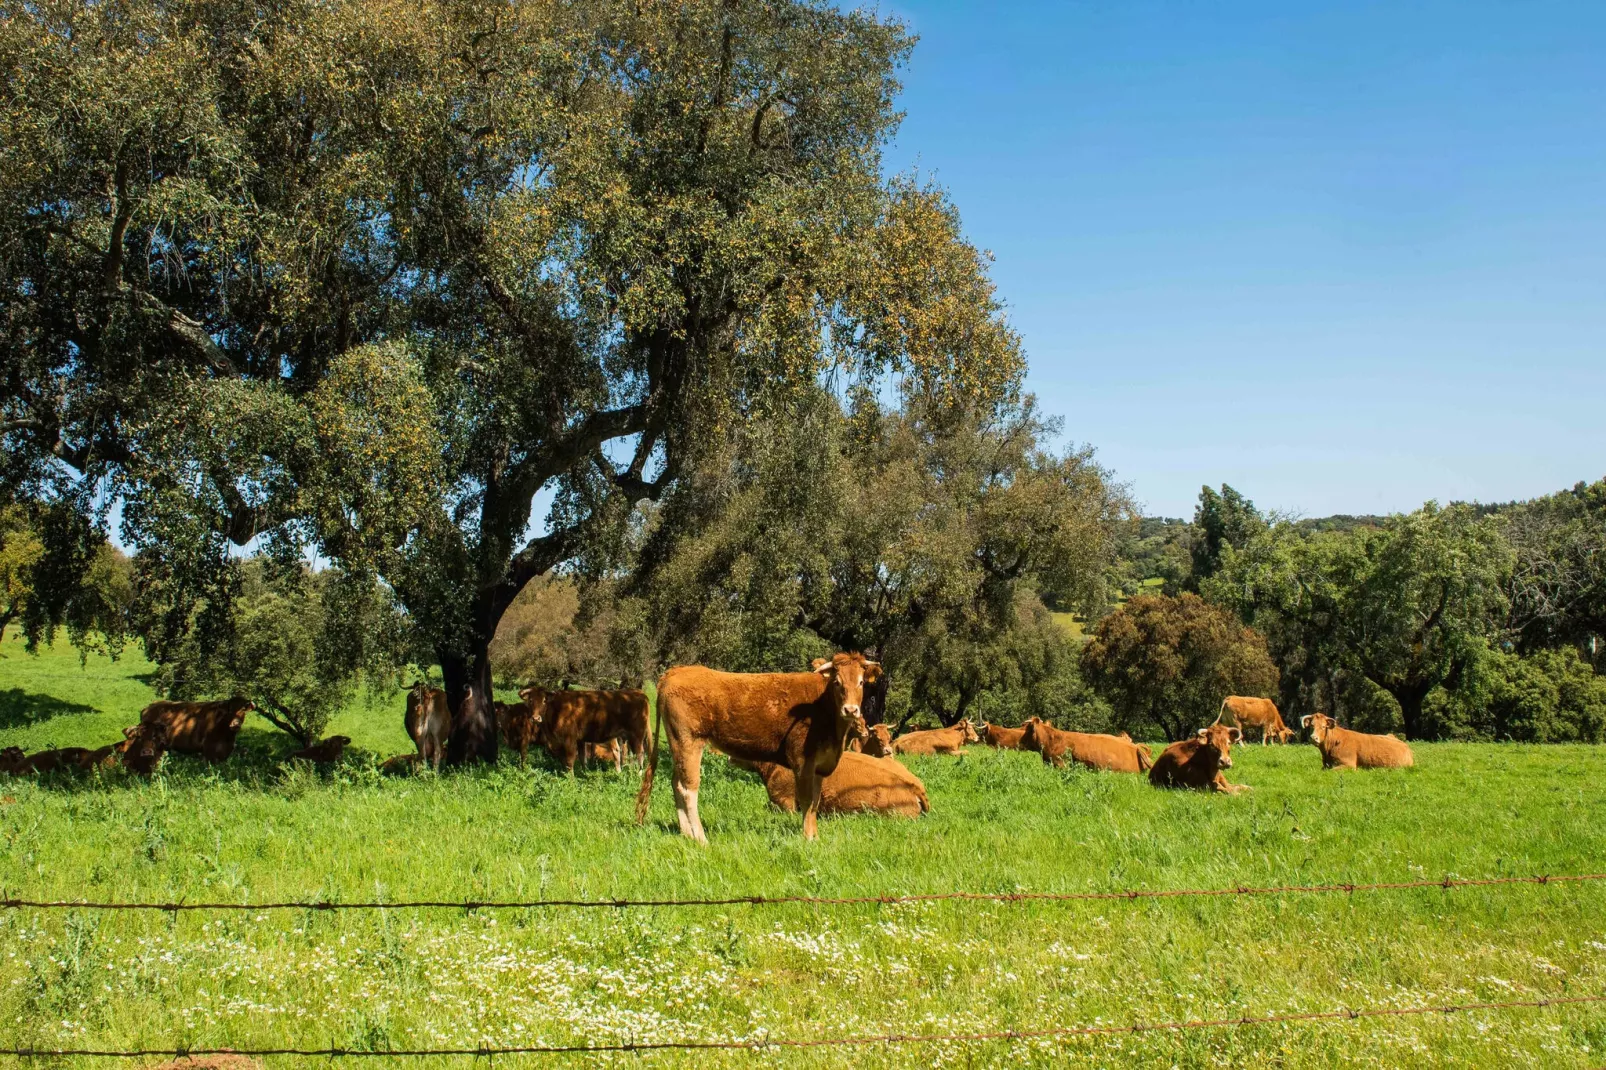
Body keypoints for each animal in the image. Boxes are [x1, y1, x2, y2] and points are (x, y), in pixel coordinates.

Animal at [517, 687, 648, 771]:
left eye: (544, 701)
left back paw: (638, 775)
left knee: (640, 754)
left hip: (637, 736)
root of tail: (639, 693)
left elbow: (570, 761)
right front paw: (583, 773)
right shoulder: (578, 741)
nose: (535, 718)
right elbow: (581, 758)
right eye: (530, 700)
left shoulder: (569, 740)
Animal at [632, 645, 880, 835]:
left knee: (676, 783)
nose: (851, 710)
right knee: (688, 788)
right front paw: (807, 838)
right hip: (689, 740)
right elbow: (807, 800)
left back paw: (687, 834)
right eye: (837, 682)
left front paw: (814, 837)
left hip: (678, 744)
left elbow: (814, 803)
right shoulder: (802, 761)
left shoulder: (820, 765)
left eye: (861, 682)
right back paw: (701, 838)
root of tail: (677, 671)